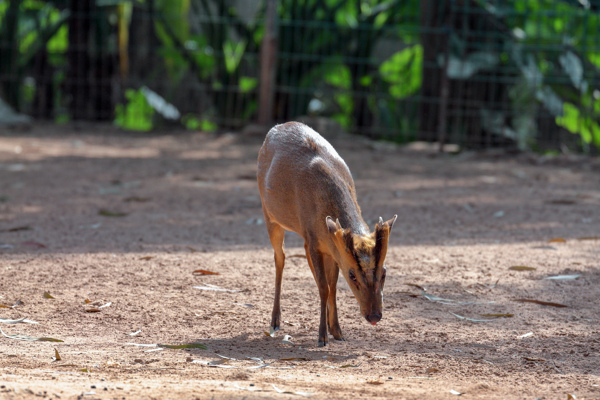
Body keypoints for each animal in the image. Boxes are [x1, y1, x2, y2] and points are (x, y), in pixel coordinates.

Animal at [255, 122, 396, 346]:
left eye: (384, 272)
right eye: (352, 275)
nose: (374, 316)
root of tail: (278, 127)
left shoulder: (332, 247)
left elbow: (332, 286)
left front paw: (337, 330)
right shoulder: (313, 240)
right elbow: (323, 287)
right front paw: (322, 336)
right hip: (269, 214)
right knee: (280, 257)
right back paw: (275, 321)